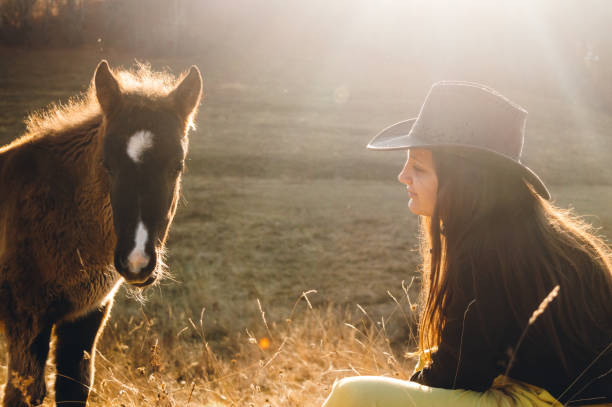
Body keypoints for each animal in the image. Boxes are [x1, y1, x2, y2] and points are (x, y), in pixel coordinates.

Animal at [0, 60, 204, 407]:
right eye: (107, 164)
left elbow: (74, 387)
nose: (136, 262)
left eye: (177, 165)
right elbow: (23, 394)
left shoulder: (86, 315)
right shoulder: (26, 318)